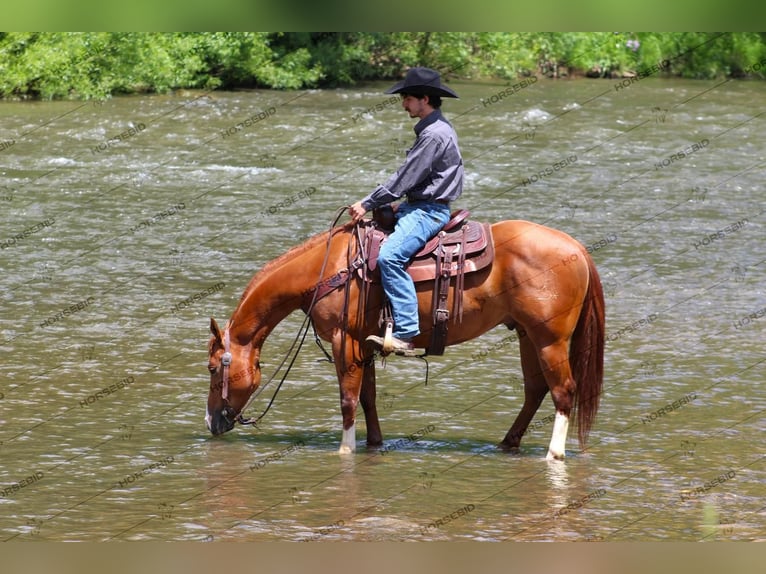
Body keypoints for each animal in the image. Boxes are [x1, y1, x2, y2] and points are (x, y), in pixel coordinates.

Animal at [206, 218, 608, 462]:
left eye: (212, 368)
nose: (212, 422)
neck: (330, 268)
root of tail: (577, 248)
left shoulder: (344, 340)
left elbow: (348, 399)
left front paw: (345, 450)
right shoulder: (363, 344)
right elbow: (367, 397)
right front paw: (374, 443)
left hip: (548, 340)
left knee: (563, 390)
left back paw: (554, 453)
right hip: (527, 335)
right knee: (535, 390)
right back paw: (508, 443)